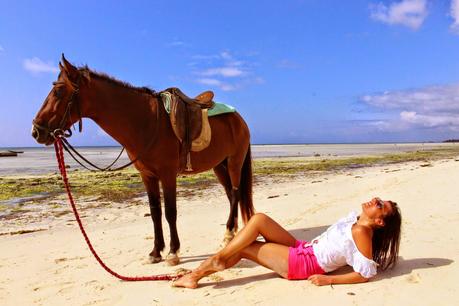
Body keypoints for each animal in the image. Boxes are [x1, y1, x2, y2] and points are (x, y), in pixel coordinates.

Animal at [32, 55, 255, 266]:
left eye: (59, 91)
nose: (36, 131)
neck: (145, 121)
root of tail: (239, 119)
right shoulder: (147, 176)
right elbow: (155, 212)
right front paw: (156, 252)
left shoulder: (167, 174)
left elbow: (170, 212)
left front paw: (173, 252)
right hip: (219, 166)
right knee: (230, 195)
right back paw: (232, 233)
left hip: (234, 163)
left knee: (235, 194)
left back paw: (228, 236)